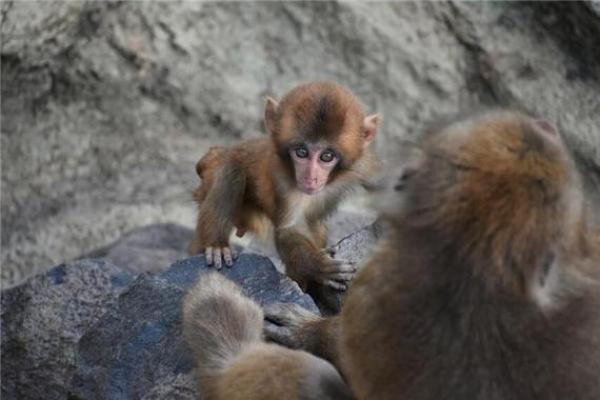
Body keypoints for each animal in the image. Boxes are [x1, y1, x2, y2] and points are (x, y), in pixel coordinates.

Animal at [190, 80, 382, 312]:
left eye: (327, 156)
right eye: (301, 152)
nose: (310, 178)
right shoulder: (284, 179)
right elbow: (290, 229)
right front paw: (319, 265)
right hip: (210, 175)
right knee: (231, 169)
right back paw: (216, 245)